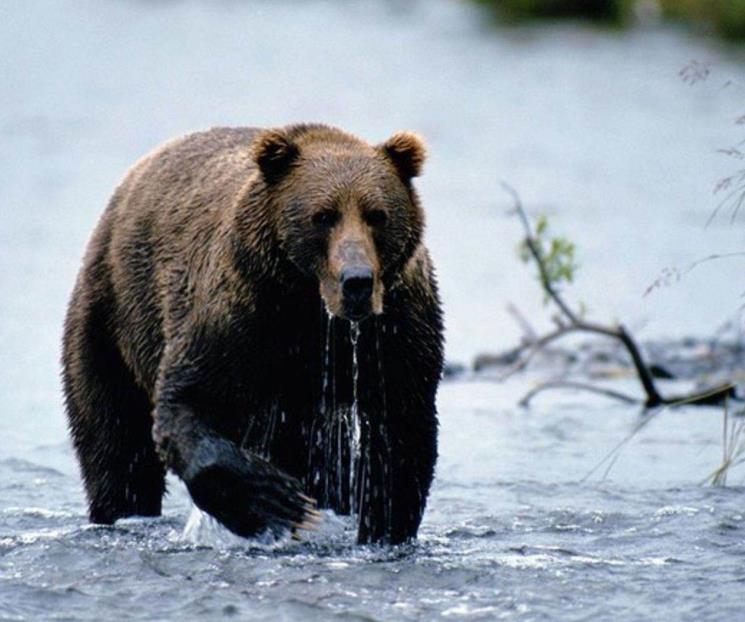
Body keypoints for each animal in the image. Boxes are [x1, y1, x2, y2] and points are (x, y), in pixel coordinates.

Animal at [62, 124, 444, 544]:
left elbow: (400, 434)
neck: (312, 309)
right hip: (110, 314)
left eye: (377, 215)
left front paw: (381, 528)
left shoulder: (395, 329)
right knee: (115, 442)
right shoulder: (241, 315)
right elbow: (187, 401)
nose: (356, 281)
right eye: (322, 216)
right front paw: (277, 500)